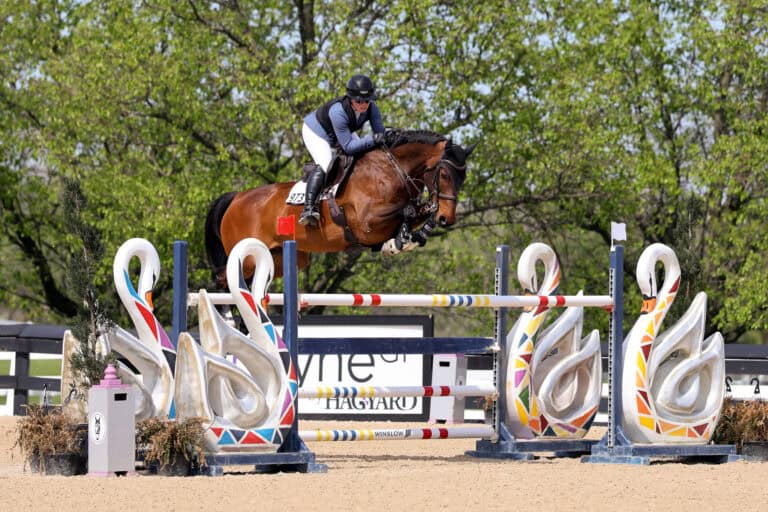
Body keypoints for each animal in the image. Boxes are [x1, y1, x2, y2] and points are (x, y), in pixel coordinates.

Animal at [205, 129, 475, 283]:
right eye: (445, 175)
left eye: (463, 177)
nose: (448, 219)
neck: (391, 170)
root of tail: (237, 197)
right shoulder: (366, 224)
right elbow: (407, 211)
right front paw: (399, 241)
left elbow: (416, 212)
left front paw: (406, 239)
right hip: (246, 257)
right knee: (224, 279)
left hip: (278, 259)